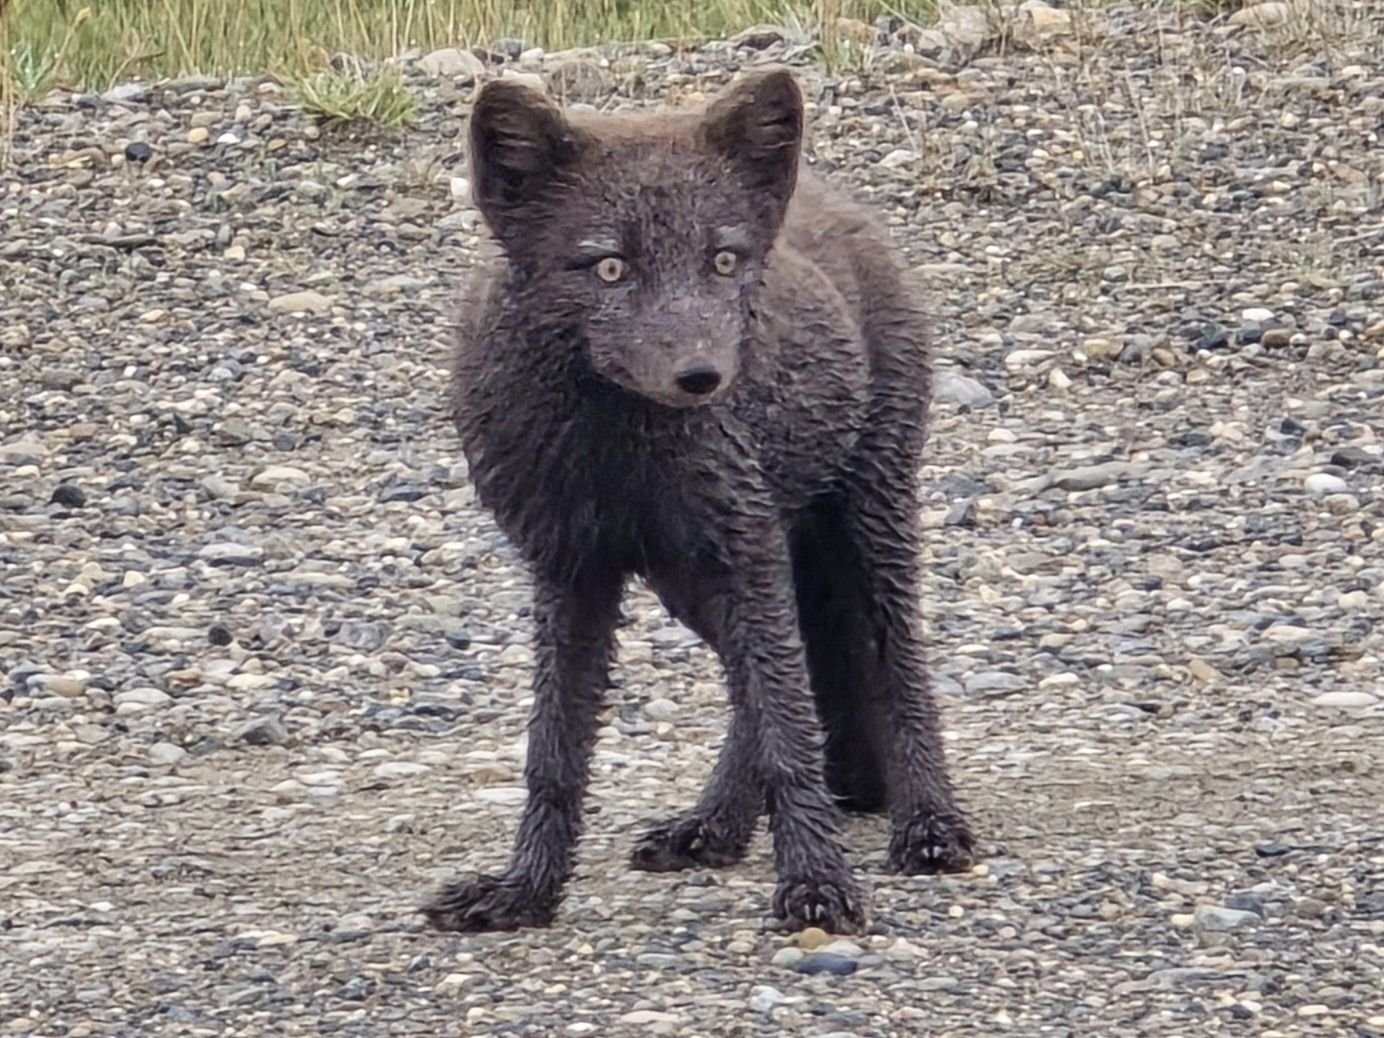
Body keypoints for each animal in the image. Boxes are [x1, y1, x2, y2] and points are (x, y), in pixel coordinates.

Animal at [423, 68, 975, 936]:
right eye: (609, 268)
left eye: (721, 260)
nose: (702, 376)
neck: (614, 452)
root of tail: (827, 192)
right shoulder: (569, 568)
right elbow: (554, 754)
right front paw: (525, 892)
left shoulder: (741, 544)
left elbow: (789, 729)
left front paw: (817, 885)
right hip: (697, 578)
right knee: (760, 685)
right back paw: (714, 827)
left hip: (863, 513)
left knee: (893, 663)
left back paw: (927, 826)